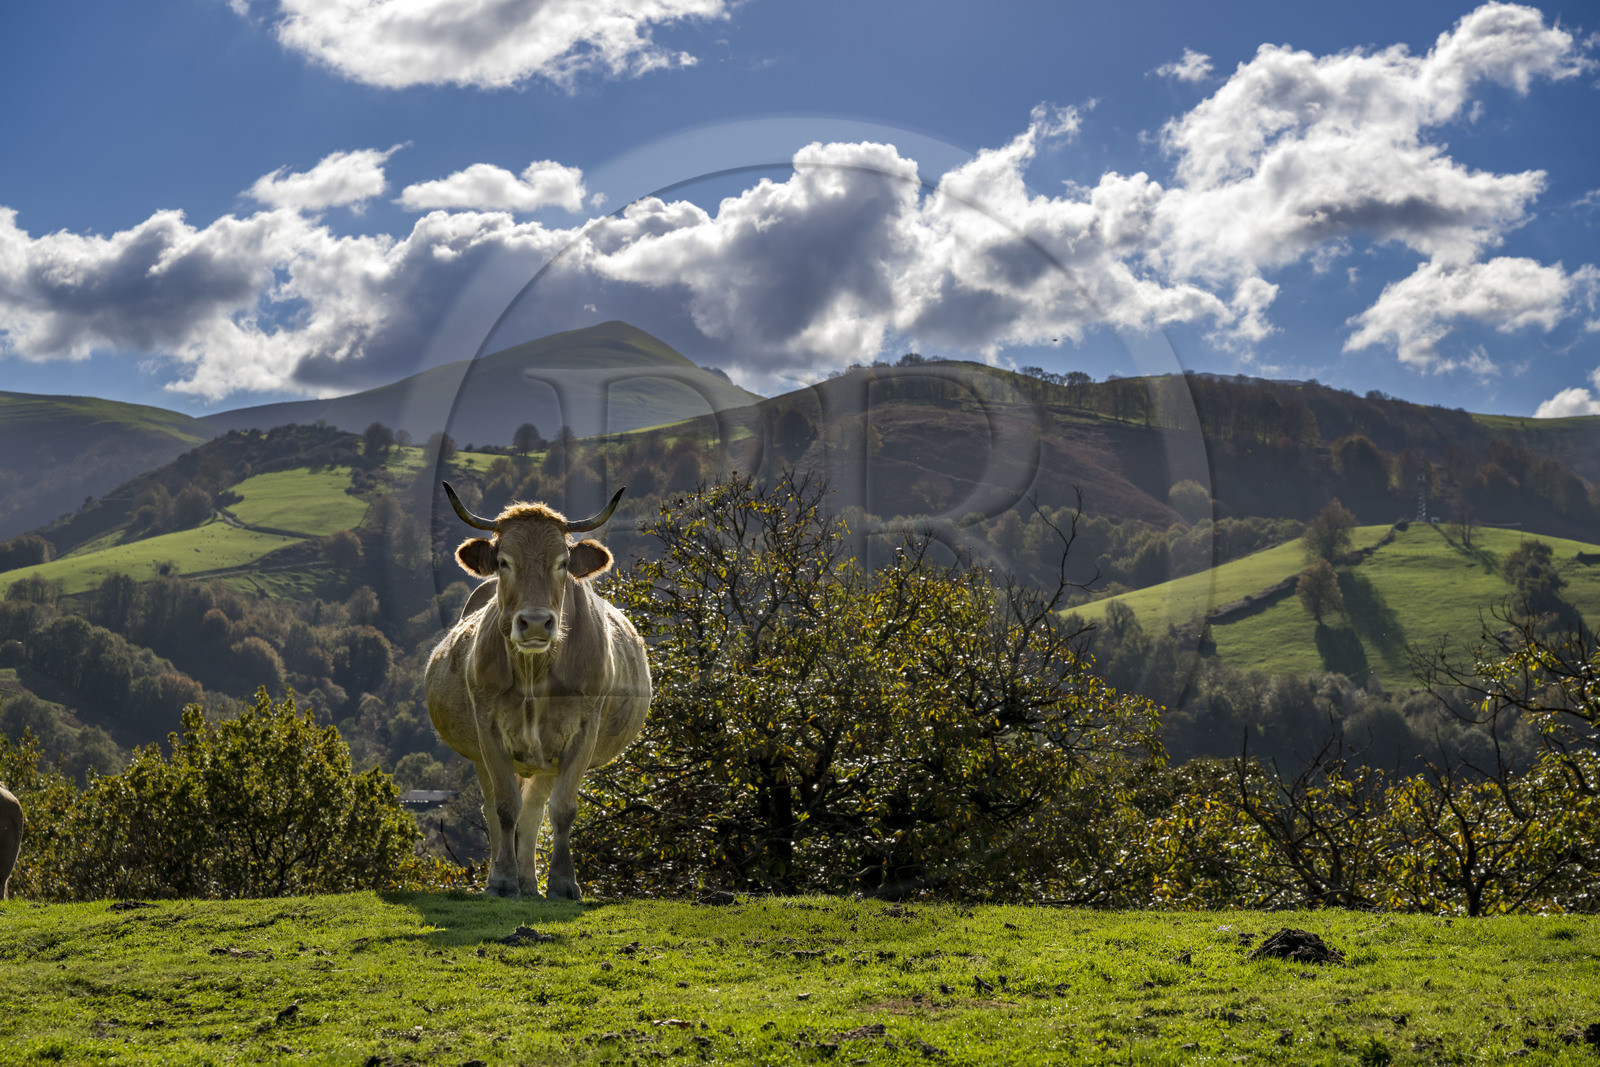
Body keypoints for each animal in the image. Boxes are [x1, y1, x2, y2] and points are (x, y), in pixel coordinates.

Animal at [425, 483, 651, 899]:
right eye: (503, 562)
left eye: (562, 562)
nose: (534, 623)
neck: (535, 673)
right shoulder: (488, 732)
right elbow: (504, 808)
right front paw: (501, 881)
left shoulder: (583, 730)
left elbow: (562, 809)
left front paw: (562, 883)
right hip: (484, 755)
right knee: (496, 809)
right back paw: (510, 878)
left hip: (546, 760)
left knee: (535, 810)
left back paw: (529, 883)